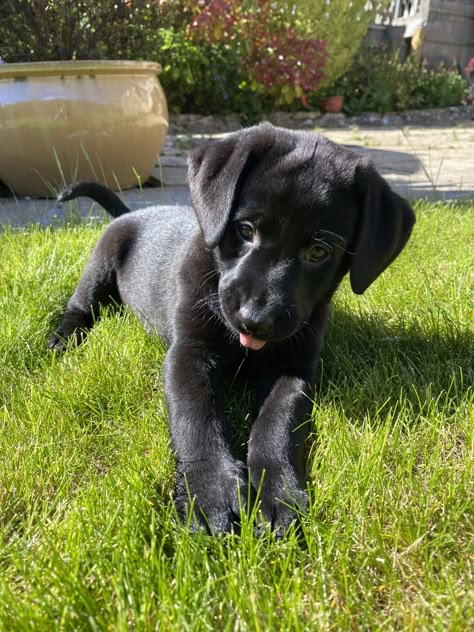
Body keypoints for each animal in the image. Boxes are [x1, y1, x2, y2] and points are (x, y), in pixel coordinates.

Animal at [50, 122, 414, 532]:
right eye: (245, 230)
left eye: (319, 252)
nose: (255, 319)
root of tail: (133, 213)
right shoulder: (188, 353)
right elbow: (196, 417)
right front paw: (211, 490)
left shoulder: (294, 367)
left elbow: (277, 422)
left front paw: (278, 491)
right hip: (99, 262)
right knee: (79, 307)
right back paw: (63, 340)